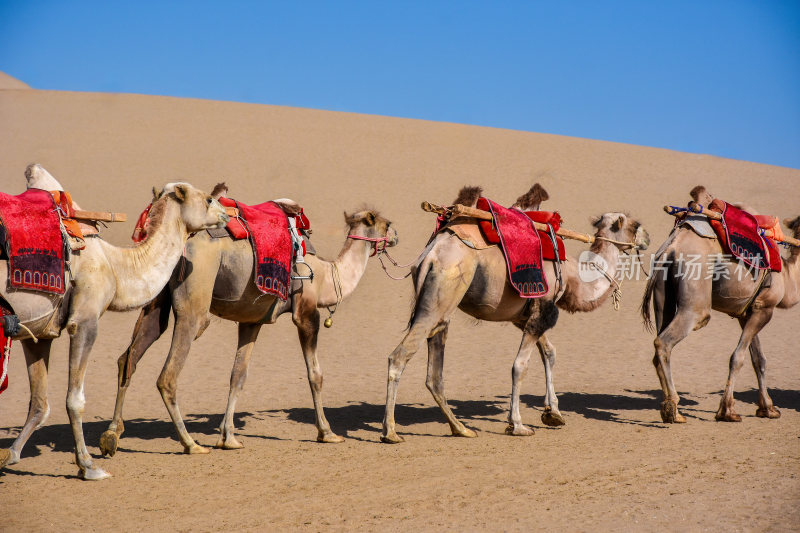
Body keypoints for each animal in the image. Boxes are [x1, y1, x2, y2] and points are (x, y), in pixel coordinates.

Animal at [1, 163, 227, 478]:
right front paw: (88, 465)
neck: (116, 266)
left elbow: (39, 403)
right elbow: (75, 400)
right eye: (208, 198)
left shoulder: (37, 332)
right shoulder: (85, 321)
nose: (227, 214)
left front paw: (11, 454)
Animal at [98, 185, 398, 456]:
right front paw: (327, 432)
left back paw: (112, 435)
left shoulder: (252, 320)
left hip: (155, 295)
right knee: (168, 375)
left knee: (129, 358)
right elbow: (316, 375)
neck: (327, 276)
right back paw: (190, 444)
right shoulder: (306, 312)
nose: (396, 235)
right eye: (387, 223)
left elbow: (238, 375)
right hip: (194, 300)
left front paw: (228, 437)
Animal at [378, 185, 648, 442]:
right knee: (399, 356)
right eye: (635, 225)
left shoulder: (527, 314)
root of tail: (432, 252)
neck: (574, 276)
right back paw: (390, 432)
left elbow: (549, 353)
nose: (648, 238)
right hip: (442, 292)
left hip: (439, 304)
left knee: (434, 373)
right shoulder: (543, 308)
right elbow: (519, 366)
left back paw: (460, 429)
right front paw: (517, 425)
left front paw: (553, 413)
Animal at [644, 185, 800, 422]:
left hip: (662, 292)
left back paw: (671, 409)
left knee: (658, 341)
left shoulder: (747, 313)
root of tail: (672, 246)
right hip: (696, 295)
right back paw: (673, 409)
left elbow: (758, 360)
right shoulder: (765, 308)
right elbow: (738, 357)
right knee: (665, 341)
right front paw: (727, 411)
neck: (788, 277)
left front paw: (768, 409)